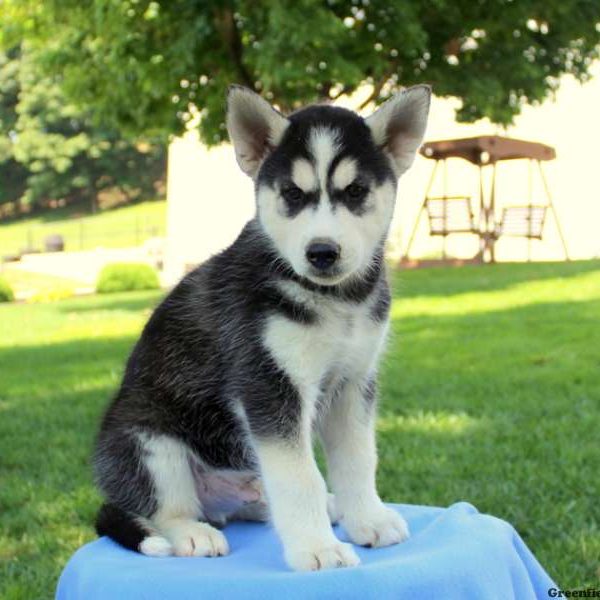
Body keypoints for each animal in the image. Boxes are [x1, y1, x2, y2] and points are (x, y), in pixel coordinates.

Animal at [94, 85, 428, 572]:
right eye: (291, 193)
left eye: (356, 191)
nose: (322, 252)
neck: (335, 300)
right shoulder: (268, 384)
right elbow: (299, 476)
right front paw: (318, 548)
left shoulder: (353, 383)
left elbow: (358, 459)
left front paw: (368, 519)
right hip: (149, 443)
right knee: (166, 510)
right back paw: (192, 533)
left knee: (255, 498)